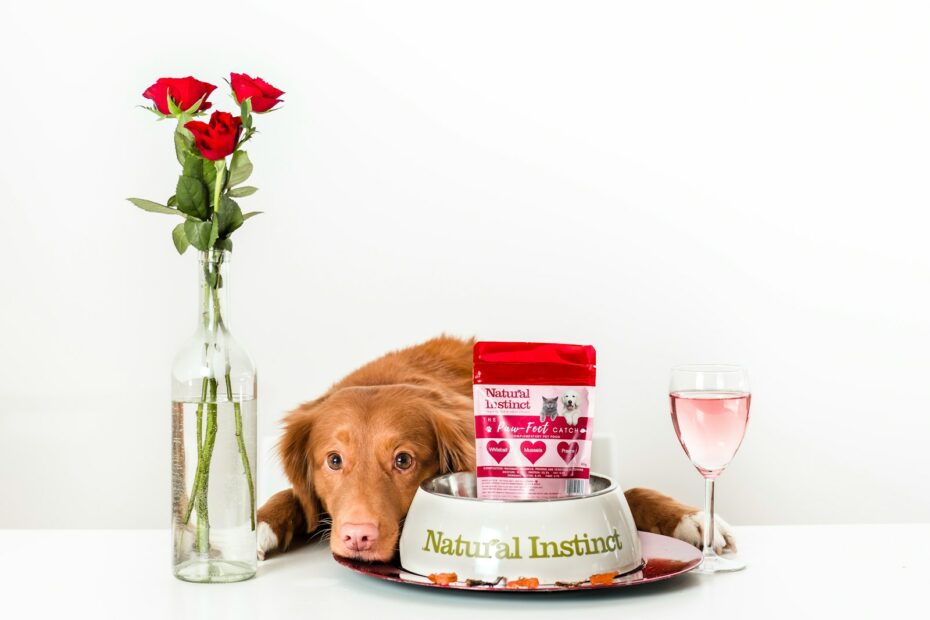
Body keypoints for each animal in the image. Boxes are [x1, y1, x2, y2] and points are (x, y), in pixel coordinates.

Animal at [254, 336, 732, 564]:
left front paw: (694, 520)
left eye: (403, 460)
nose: (358, 536)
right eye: (333, 461)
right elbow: (289, 499)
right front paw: (253, 529)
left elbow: (632, 493)